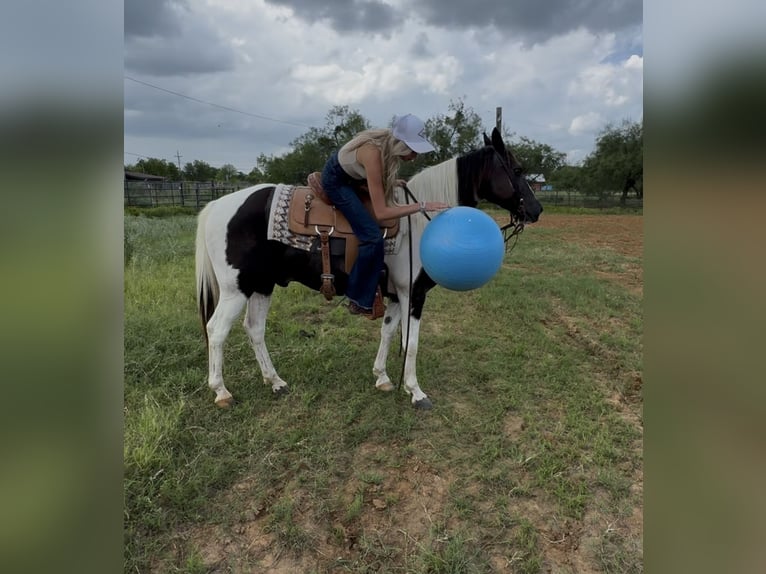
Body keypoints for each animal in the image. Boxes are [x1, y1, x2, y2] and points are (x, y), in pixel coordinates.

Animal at [195, 127, 543, 410]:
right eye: (517, 169)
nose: (536, 210)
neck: (420, 225)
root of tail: (217, 205)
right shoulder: (413, 294)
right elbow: (411, 343)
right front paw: (415, 391)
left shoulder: (396, 294)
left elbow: (388, 332)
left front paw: (383, 378)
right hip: (235, 289)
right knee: (217, 330)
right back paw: (222, 392)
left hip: (262, 284)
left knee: (254, 328)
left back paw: (275, 382)